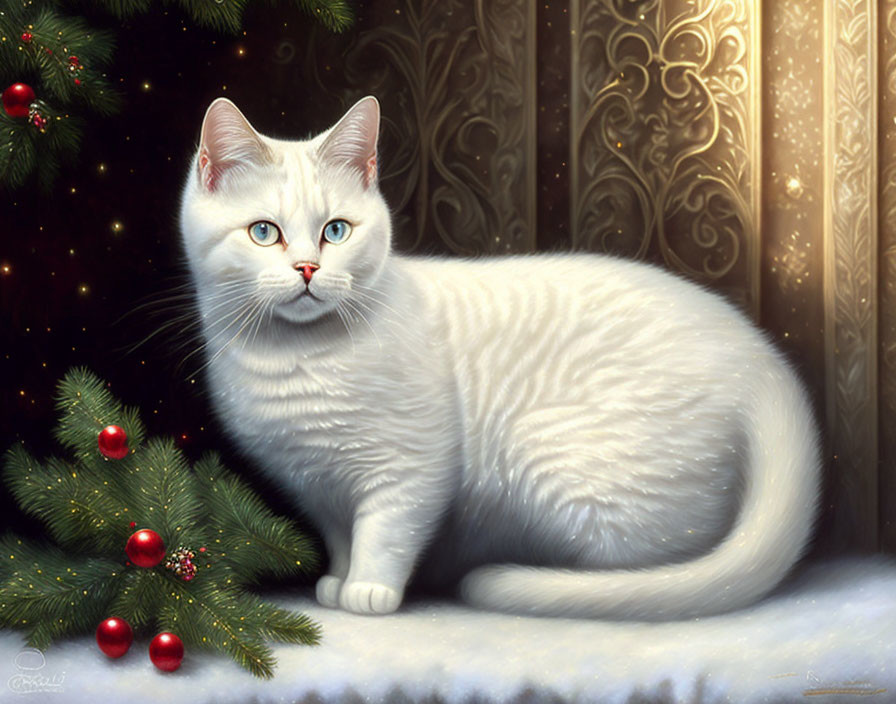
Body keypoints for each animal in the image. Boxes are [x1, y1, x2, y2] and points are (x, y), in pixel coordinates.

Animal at [178, 96, 824, 620]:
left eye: (336, 231)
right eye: (265, 232)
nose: (309, 268)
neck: (294, 361)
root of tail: (762, 360)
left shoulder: (411, 467)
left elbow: (385, 531)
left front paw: (369, 589)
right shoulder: (320, 487)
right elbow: (342, 537)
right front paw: (338, 581)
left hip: (554, 457)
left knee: (660, 562)